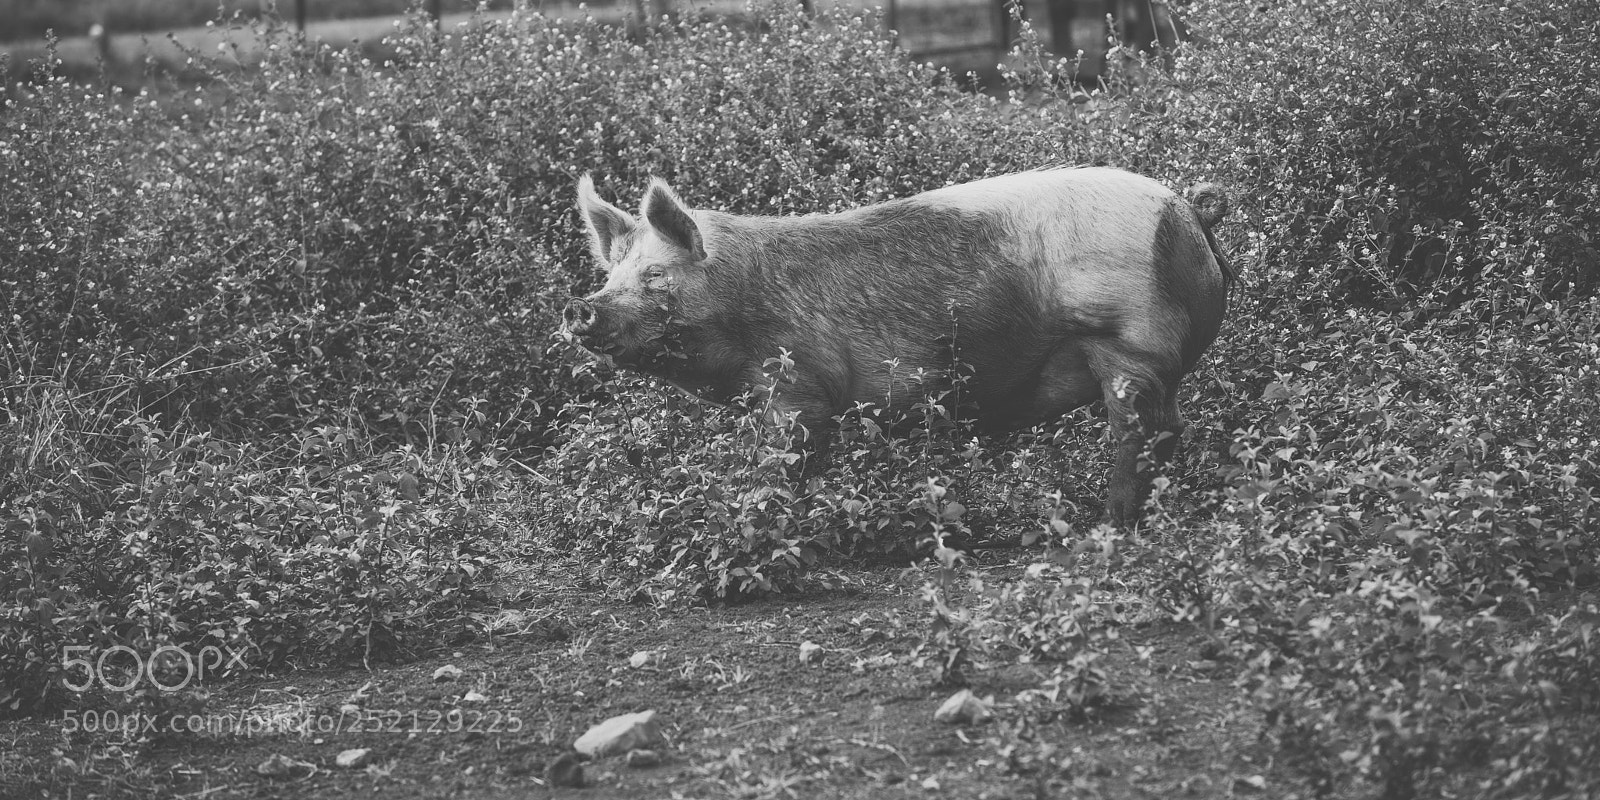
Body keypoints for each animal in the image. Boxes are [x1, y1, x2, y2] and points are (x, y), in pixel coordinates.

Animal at [561, 167, 1234, 526]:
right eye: (610, 277)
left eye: (656, 276)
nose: (580, 306)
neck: (739, 296)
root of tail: (1187, 209)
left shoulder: (797, 380)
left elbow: (792, 455)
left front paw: (769, 515)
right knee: (1171, 426)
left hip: (1127, 340)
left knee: (1138, 427)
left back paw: (1109, 520)